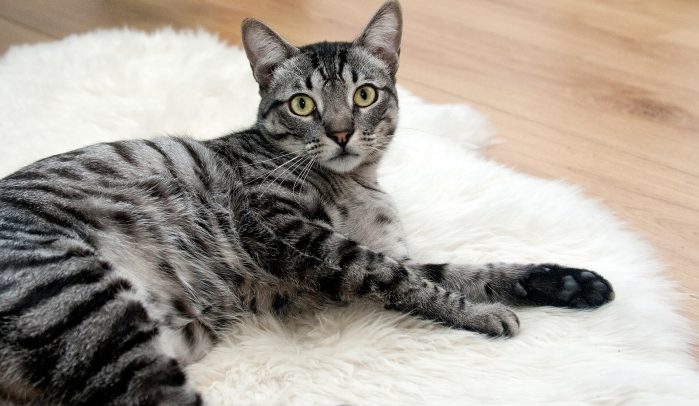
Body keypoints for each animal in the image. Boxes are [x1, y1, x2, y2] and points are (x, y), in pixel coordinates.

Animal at [0, 1, 612, 404]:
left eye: (364, 94)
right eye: (301, 104)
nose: (341, 132)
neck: (355, 184)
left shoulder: (377, 251)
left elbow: (461, 271)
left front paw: (567, 282)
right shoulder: (290, 231)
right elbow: (404, 279)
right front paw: (482, 315)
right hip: (92, 304)